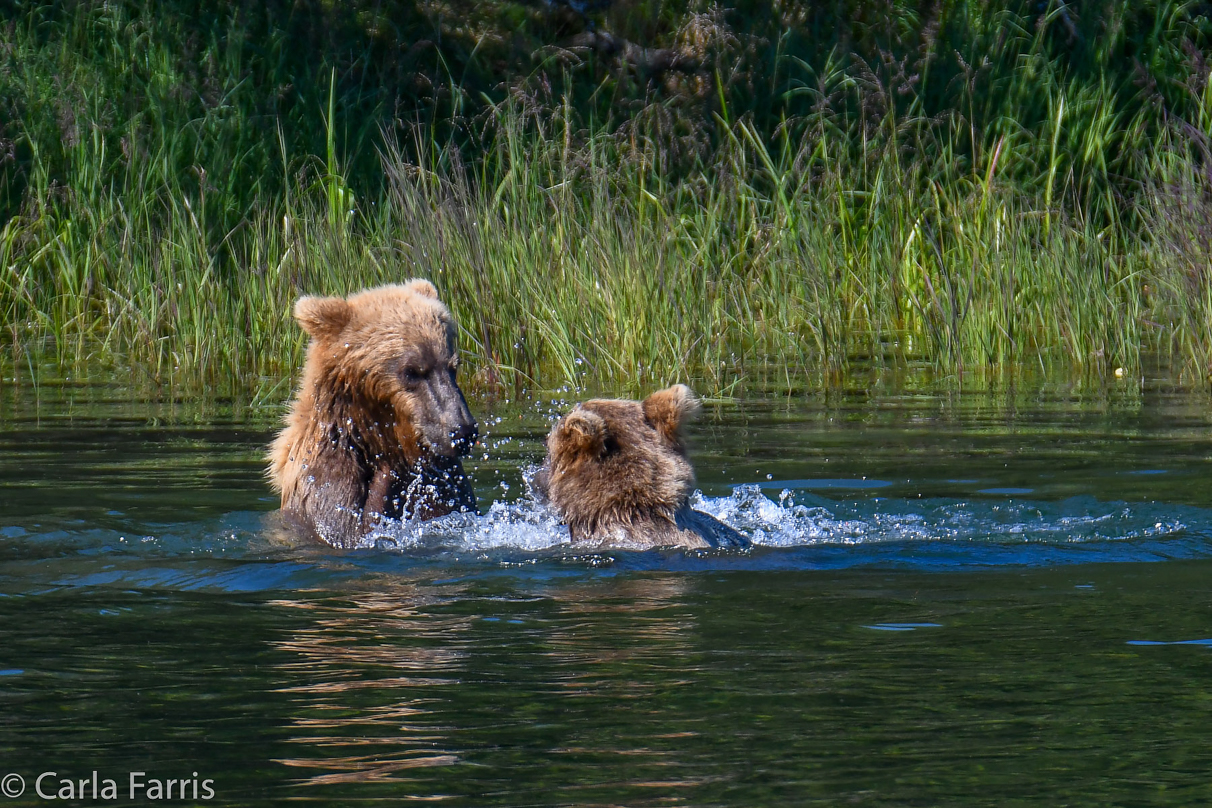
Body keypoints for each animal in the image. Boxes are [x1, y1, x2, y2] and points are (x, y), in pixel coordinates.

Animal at [270, 279, 477, 549]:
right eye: (411, 371)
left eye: (453, 366)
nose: (462, 431)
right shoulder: (322, 472)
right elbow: (346, 528)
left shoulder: (447, 481)